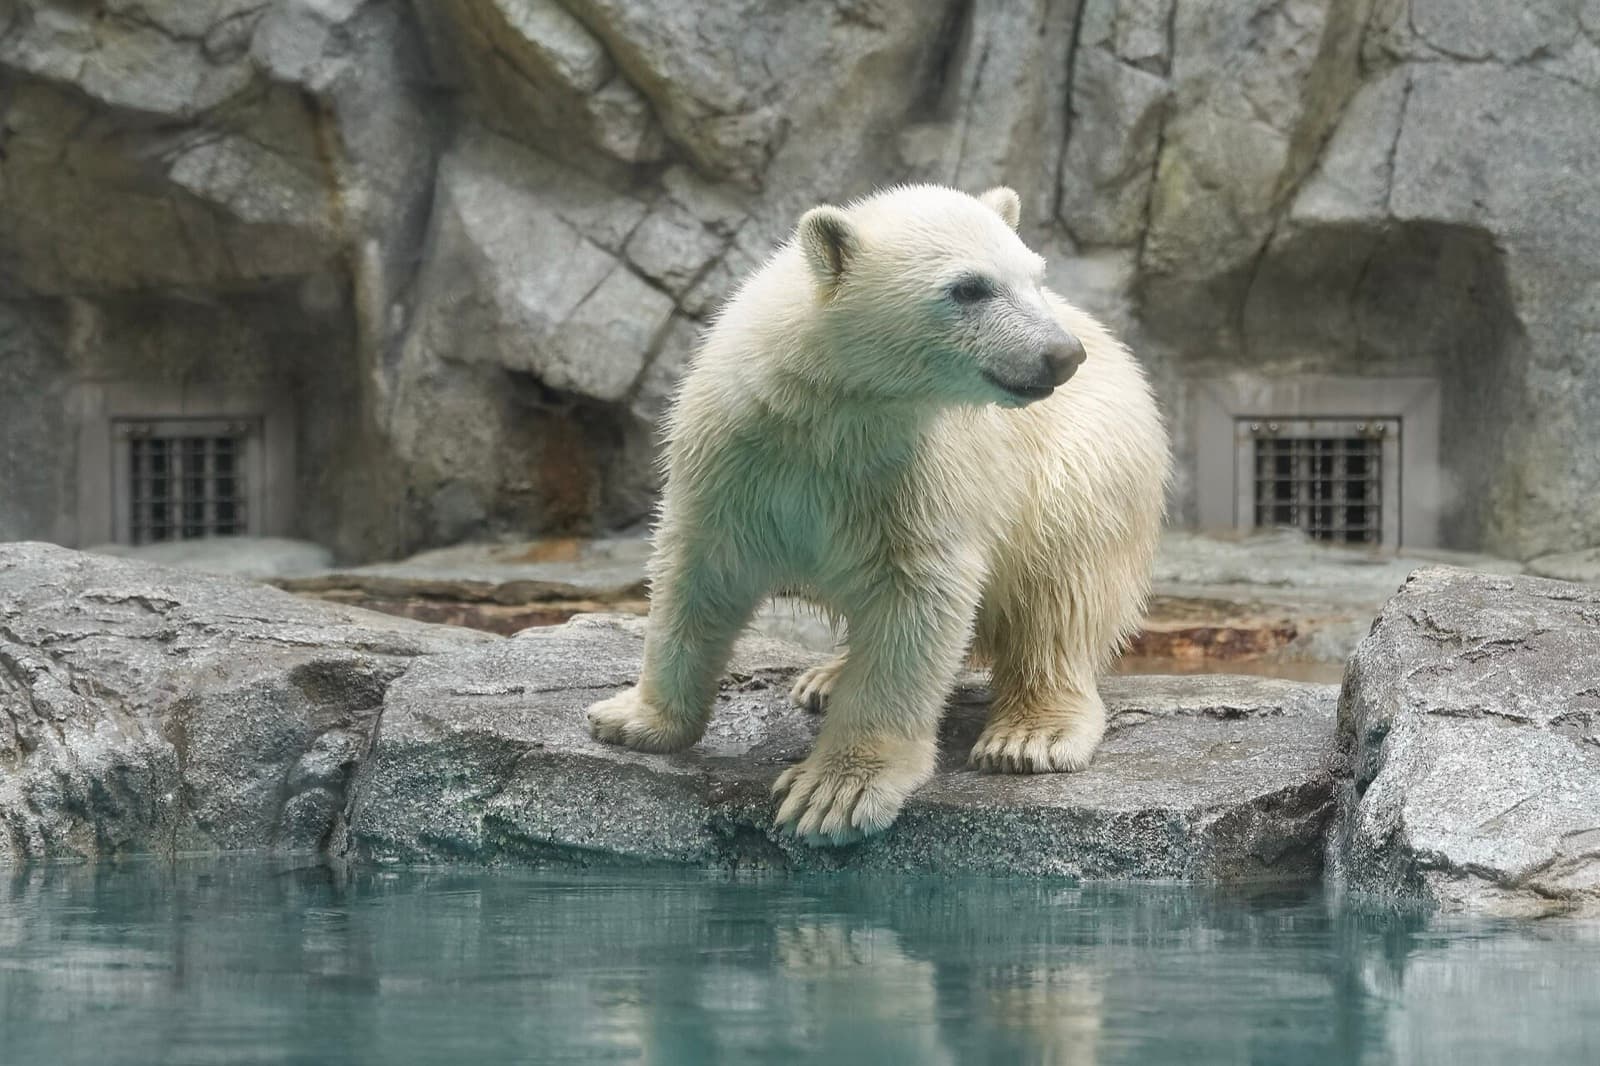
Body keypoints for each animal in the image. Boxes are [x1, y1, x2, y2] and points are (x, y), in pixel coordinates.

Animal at [586, 184, 1169, 846]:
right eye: (969, 288)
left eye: (1036, 277)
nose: (1063, 354)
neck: (830, 413)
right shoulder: (735, 456)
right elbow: (698, 573)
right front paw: (628, 720)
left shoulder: (918, 474)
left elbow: (915, 601)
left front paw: (833, 795)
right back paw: (826, 677)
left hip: (1082, 467)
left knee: (1060, 588)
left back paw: (1029, 735)